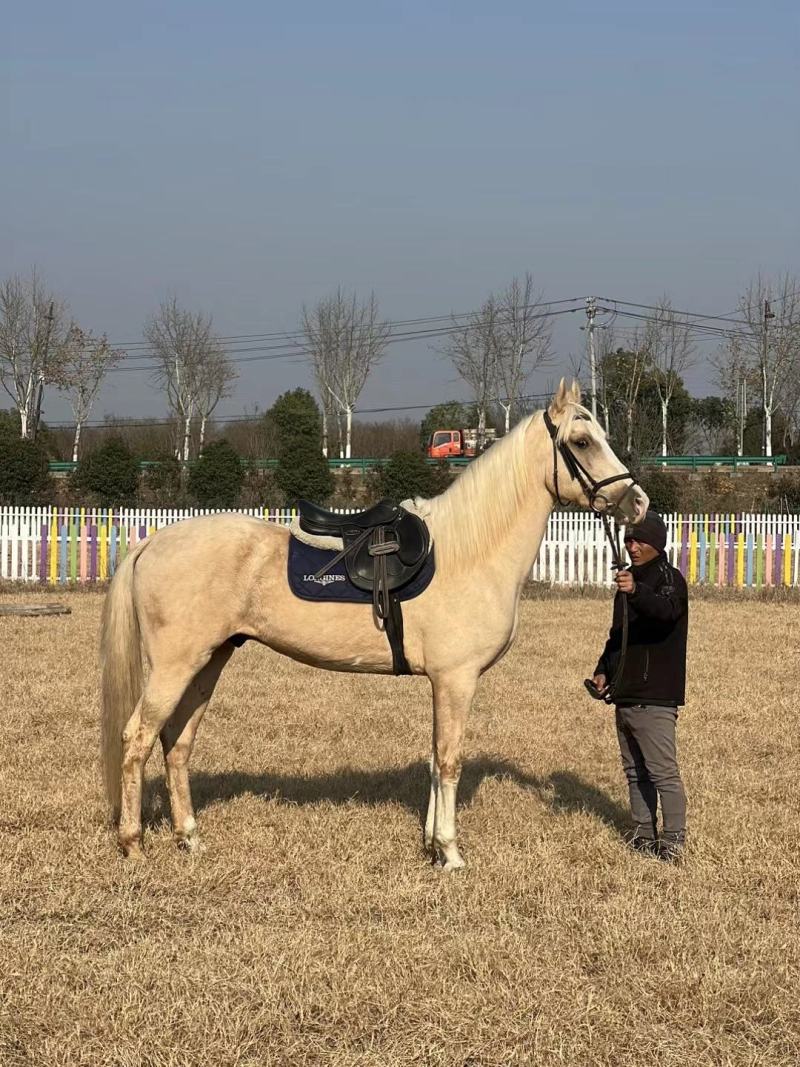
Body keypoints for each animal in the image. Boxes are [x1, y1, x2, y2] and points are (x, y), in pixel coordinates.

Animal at [100, 381, 648, 869]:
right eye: (582, 442)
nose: (636, 503)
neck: (469, 551)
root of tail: (152, 542)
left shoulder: (442, 683)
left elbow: (433, 760)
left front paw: (431, 845)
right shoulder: (456, 680)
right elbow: (449, 759)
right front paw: (450, 853)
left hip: (209, 662)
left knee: (177, 743)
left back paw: (190, 838)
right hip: (175, 666)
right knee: (137, 740)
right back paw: (132, 844)